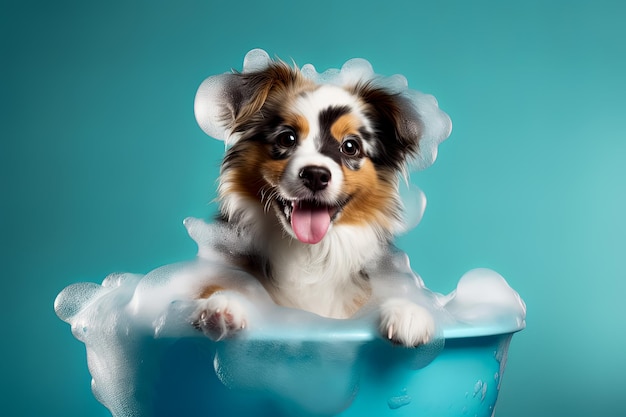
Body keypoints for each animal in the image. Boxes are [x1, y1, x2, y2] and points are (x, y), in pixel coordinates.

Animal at [188, 53, 446, 346]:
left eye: (350, 146)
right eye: (287, 138)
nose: (315, 175)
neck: (311, 254)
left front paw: (409, 313)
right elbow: (220, 285)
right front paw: (223, 303)